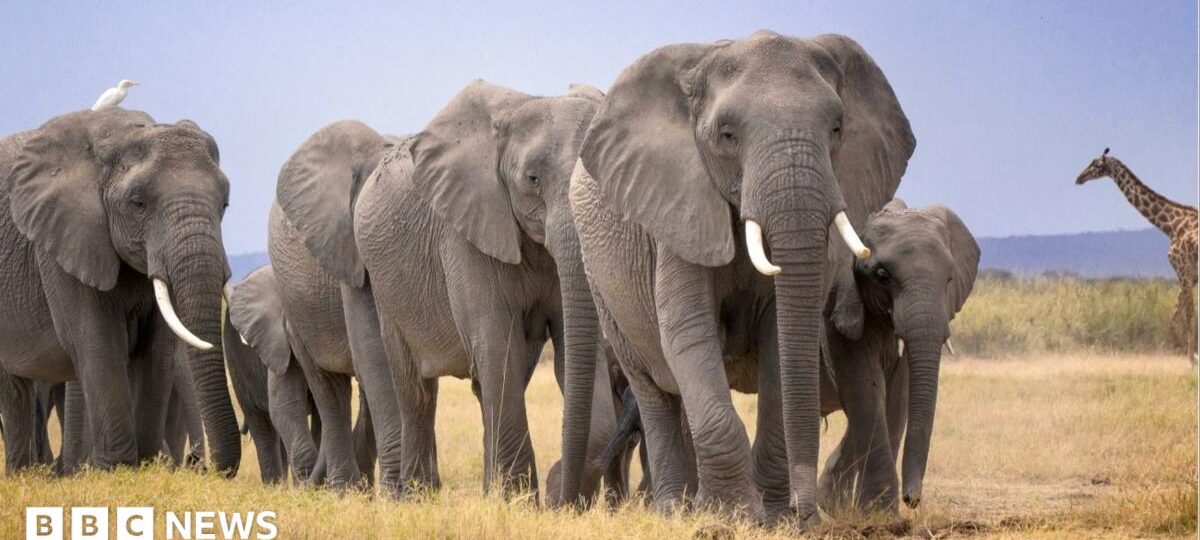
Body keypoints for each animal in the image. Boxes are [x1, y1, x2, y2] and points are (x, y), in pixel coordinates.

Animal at [0, 109, 240, 475]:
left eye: (224, 204)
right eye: (138, 203)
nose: (202, 466)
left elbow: (158, 352)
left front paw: (146, 464)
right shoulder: (63, 242)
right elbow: (98, 342)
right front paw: (117, 469)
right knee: (13, 391)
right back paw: (23, 475)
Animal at [224, 265, 375, 485]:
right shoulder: (279, 340)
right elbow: (284, 405)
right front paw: (305, 485)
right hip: (235, 360)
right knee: (260, 422)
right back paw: (273, 485)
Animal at [569, 31, 914, 525]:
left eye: (836, 128)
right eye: (727, 135)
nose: (808, 517)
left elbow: (779, 339)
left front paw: (773, 519)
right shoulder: (678, 205)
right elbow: (690, 331)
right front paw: (729, 516)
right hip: (602, 285)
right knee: (654, 390)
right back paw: (674, 511)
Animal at [818, 200, 979, 513]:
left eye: (949, 279)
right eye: (882, 276)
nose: (912, 499)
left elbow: (897, 395)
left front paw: (869, 512)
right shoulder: (840, 313)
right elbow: (867, 389)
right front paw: (878, 512)